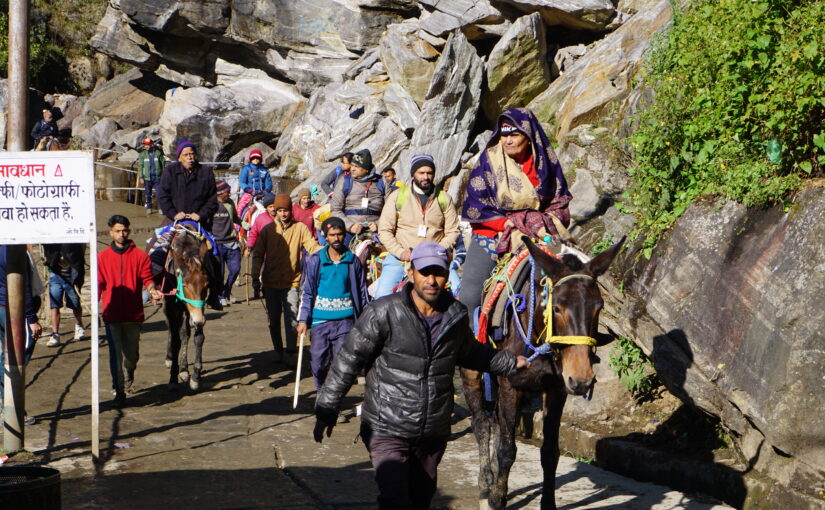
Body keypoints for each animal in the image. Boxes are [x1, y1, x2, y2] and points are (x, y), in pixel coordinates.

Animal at [464, 236, 624, 510]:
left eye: (599, 306)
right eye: (557, 307)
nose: (582, 379)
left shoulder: (557, 389)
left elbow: (550, 452)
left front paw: (547, 503)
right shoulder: (511, 385)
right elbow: (507, 449)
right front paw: (497, 498)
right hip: (472, 372)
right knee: (482, 425)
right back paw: (486, 485)